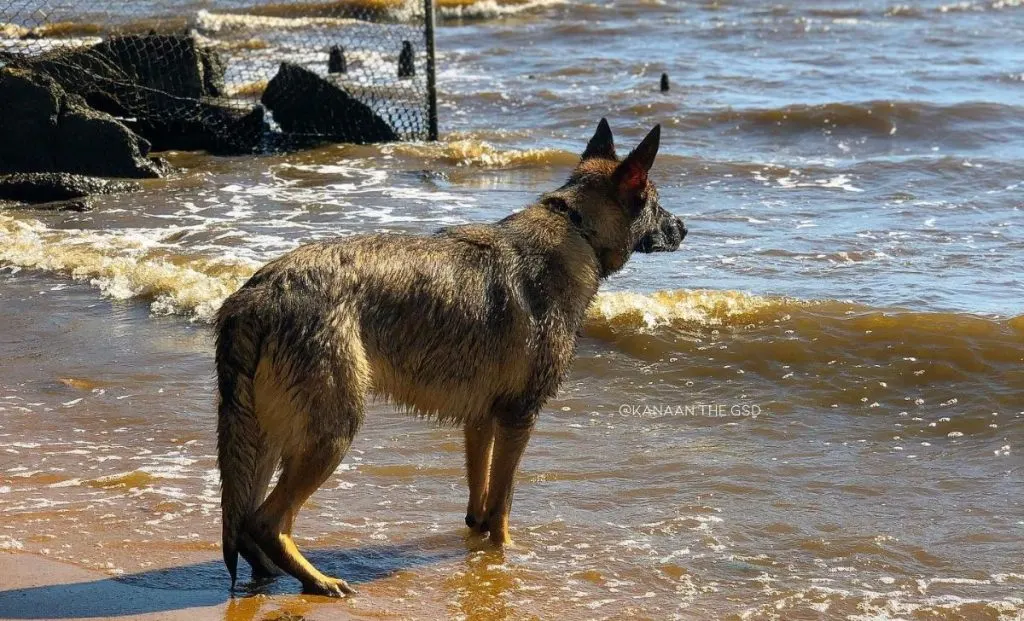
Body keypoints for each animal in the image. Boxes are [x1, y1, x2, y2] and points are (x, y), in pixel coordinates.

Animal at [219, 117, 688, 598]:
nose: (685, 228)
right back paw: (318, 581)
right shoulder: (519, 417)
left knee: (245, 522)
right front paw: (503, 557)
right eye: (657, 203)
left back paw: (271, 576)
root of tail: (259, 292)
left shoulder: (481, 420)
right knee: (266, 521)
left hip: (267, 436)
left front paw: (477, 542)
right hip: (330, 434)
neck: (576, 227)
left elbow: (479, 498)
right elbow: (502, 503)